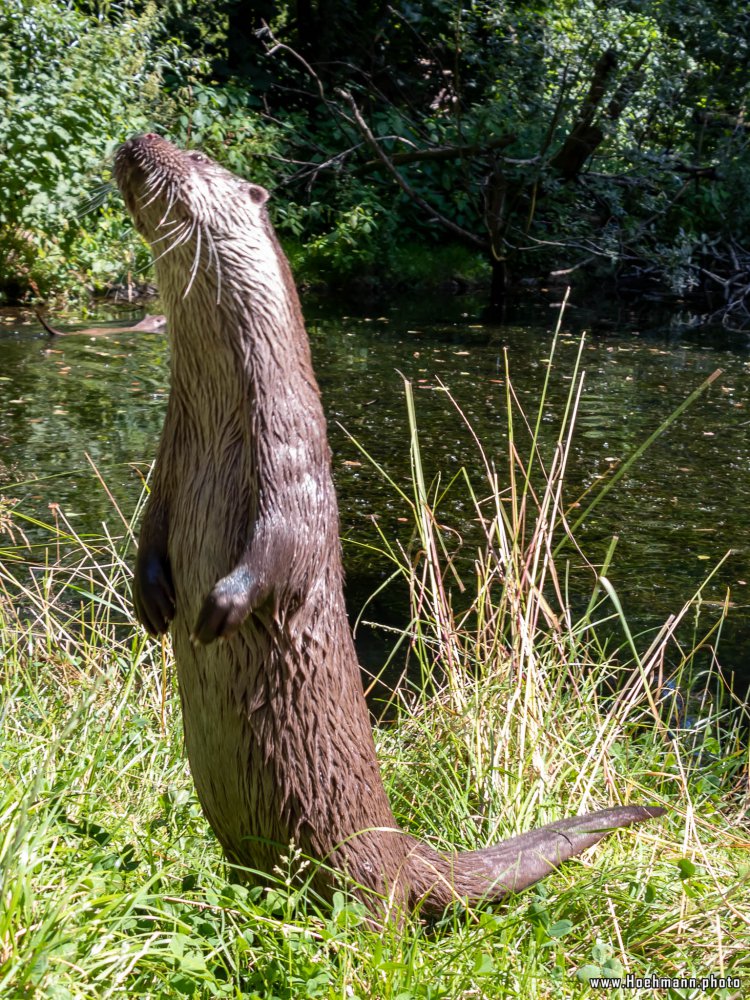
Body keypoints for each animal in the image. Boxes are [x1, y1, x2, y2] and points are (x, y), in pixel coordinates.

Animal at [114, 135, 668, 920]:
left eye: (194, 154)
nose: (140, 140)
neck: (223, 427)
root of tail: (411, 851)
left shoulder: (294, 471)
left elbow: (280, 552)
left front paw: (219, 608)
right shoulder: (168, 465)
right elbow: (150, 531)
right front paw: (152, 600)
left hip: (363, 874)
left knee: (380, 914)